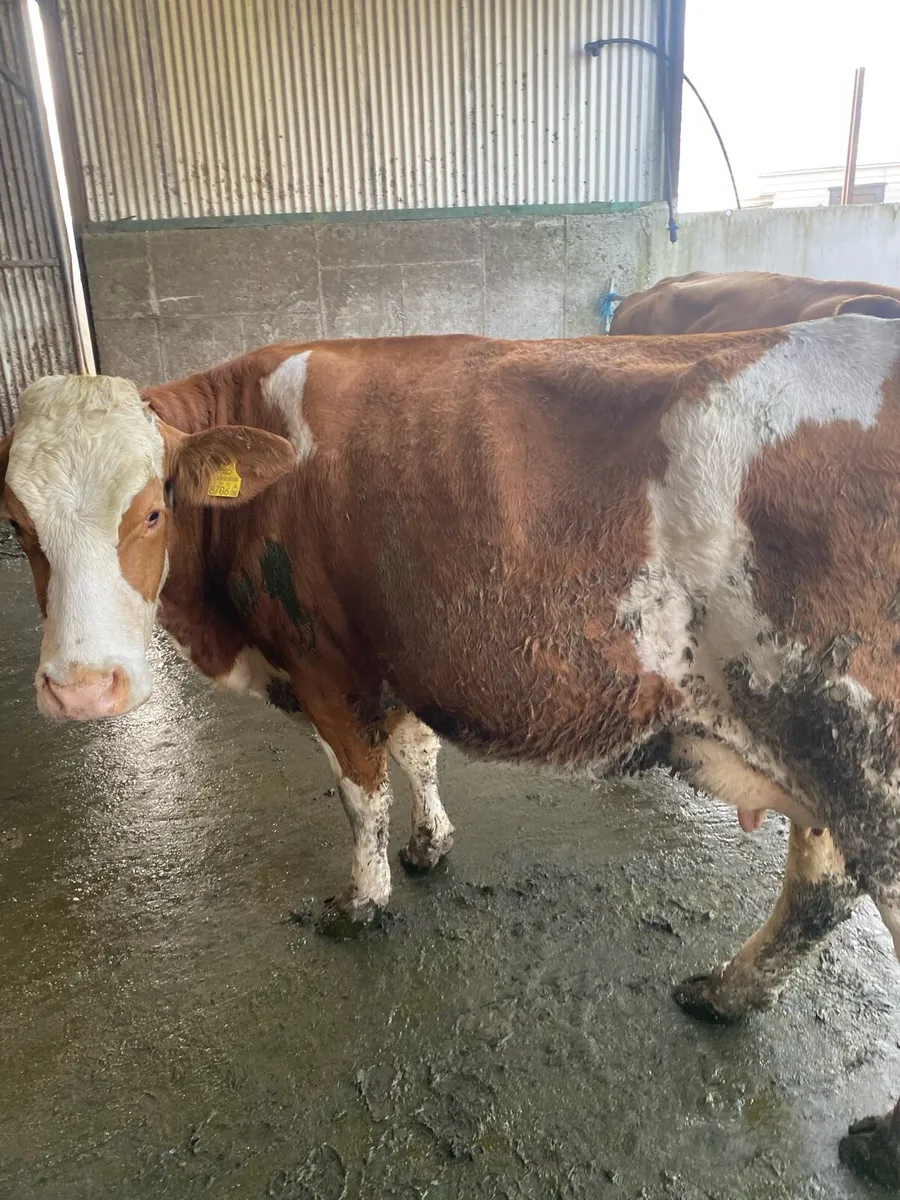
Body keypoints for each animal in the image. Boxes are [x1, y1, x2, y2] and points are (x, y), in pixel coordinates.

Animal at [3, 320, 900, 1184]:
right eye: (17, 526)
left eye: (152, 510)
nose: (83, 688)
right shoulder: (399, 652)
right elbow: (418, 750)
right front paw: (430, 843)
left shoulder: (325, 664)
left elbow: (361, 791)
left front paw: (362, 901)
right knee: (818, 891)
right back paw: (725, 994)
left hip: (864, 751)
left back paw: (875, 1138)